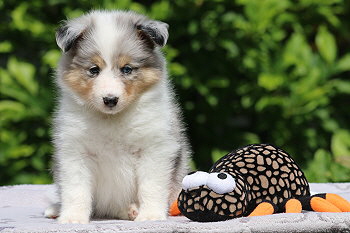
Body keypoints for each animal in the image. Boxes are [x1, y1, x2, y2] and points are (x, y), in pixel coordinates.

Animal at [45, 10, 191, 223]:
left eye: (127, 69)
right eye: (94, 70)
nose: (110, 100)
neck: (111, 119)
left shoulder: (154, 148)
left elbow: (151, 186)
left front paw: (150, 215)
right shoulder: (75, 151)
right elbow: (76, 189)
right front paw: (73, 217)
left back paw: (133, 210)